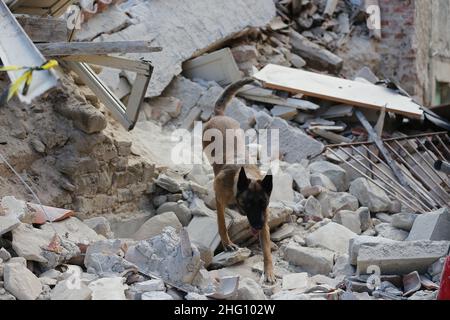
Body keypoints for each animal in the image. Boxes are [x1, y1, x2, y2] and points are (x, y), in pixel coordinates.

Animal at [203, 79, 274, 284]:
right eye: (248, 204)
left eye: (263, 204)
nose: (257, 226)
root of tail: (220, 115)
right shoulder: (220, 200)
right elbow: (221, 223)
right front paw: (227, 243)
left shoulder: (264, 218)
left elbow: (266, 249)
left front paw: (269, 270)